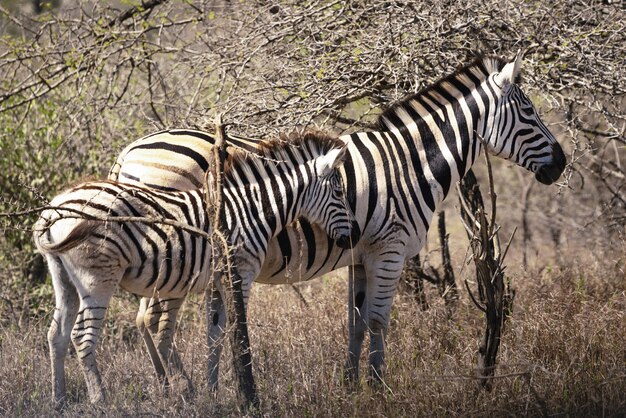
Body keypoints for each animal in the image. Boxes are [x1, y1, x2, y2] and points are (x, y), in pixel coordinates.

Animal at [33, 131, 356, 404]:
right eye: (340, 193)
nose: (352, 237)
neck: (250, 209)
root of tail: (52, 209)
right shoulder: (240, 274)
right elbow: (237, 332)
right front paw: (247, 393)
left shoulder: (217, 280)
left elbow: (215, 335)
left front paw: (213, 392)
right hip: (97, 278)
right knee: (81, 336)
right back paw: (101, 401)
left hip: (63, 278)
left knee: (57, 334)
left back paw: (59, 400)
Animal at [108, 52, 564, 388]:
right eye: (528, 112)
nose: (560, 164)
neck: (408, 164)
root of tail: (129, 151)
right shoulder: (390, 249)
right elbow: (379, 322)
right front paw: (380, 391)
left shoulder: (361, 255)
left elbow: (356, 324)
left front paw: (351, 388)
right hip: (178, 256)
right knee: (157, 323)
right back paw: (183, 390)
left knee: (146, 320)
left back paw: (173, 388)